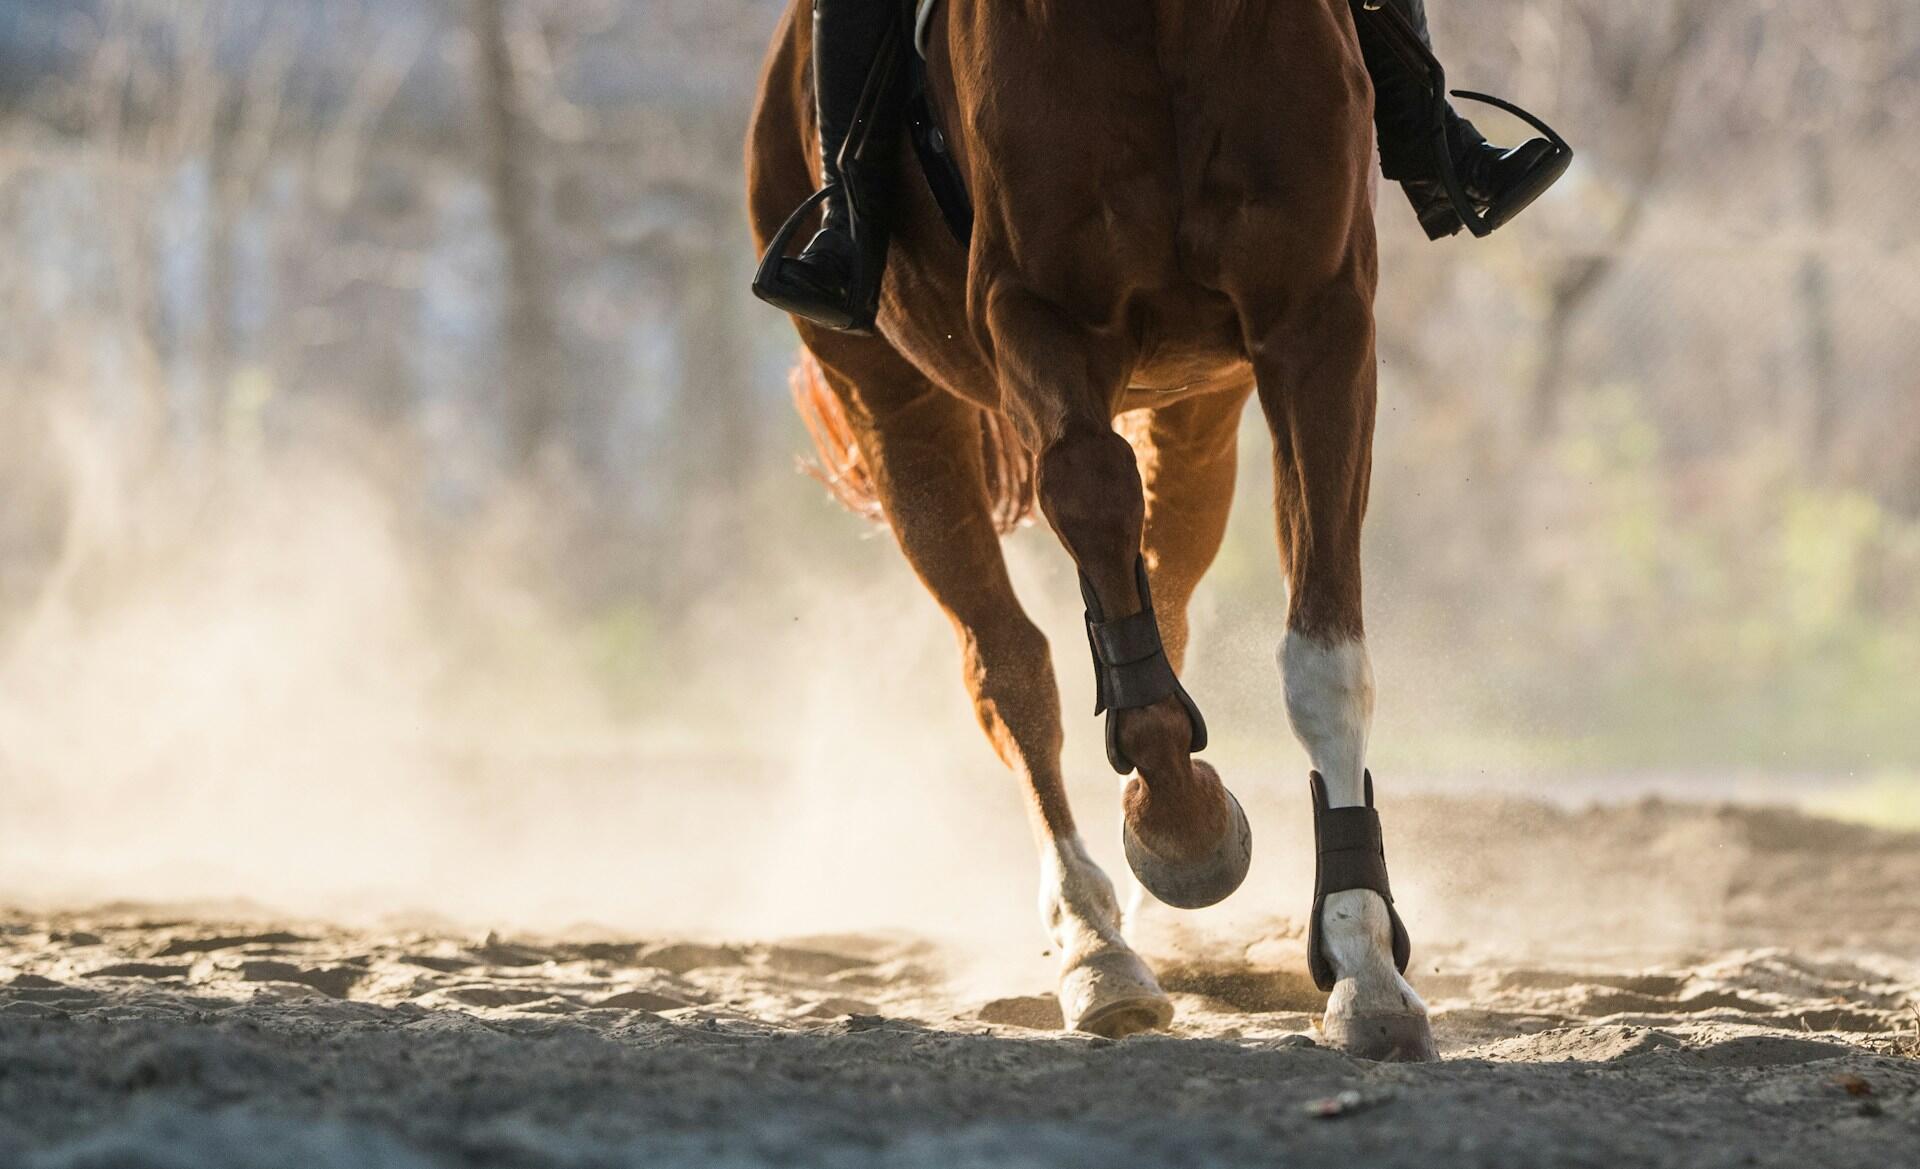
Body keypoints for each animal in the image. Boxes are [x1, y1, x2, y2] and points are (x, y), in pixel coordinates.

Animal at [746, 0, 1434, 1061]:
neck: (1159, 19)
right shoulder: (1036, 313)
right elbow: (1091, 496)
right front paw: (1183, 827)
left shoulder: (1316, 322)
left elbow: (1323, 655)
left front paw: (1363, 962)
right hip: (892, 404)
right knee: (1009, 665)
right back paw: (1095, 947)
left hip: (1197, 410)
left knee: (1160, 594)